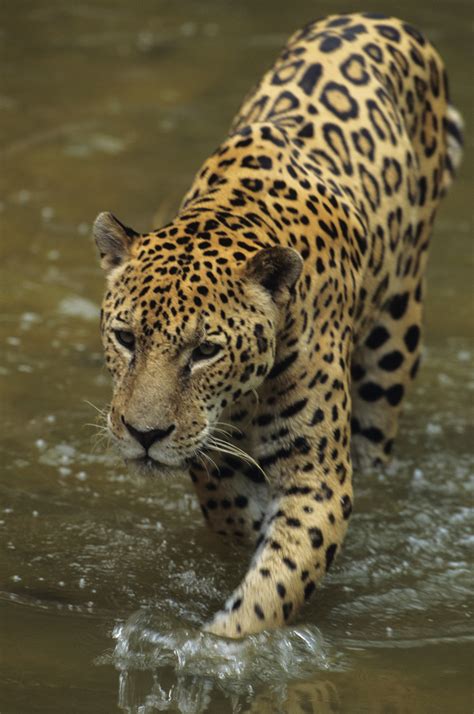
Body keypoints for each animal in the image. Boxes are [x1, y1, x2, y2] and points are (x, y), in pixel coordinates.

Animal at [91, 12, 463, 638]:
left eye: (205, 350)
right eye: (125, 339)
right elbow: (230, 509)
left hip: (394, 339)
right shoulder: (212, 452)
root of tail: (378, 18)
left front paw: (222, 646)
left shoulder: (318, 480)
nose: (144, 435)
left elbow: (277, 582)